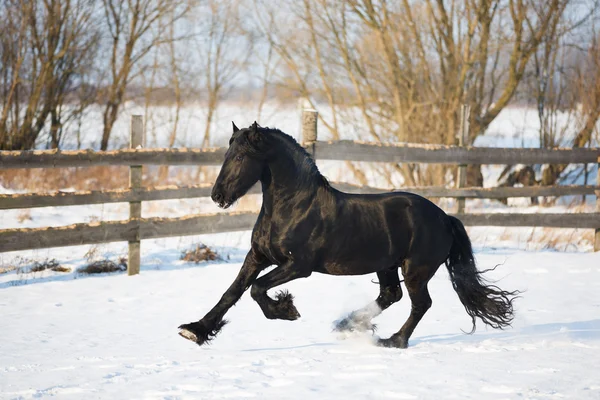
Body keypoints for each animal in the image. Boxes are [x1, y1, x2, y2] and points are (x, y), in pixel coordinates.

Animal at [176, 121, 516, 346]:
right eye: (226, 154)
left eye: (240, 157)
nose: (217, 196)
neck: (291, 207)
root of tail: (445, 218)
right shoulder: (258, 256)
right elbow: (232, 292)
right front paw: (194, 330)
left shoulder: (298, 266)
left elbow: (257, 289)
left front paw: (287, 309)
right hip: (387, 265)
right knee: (390, 295)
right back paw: (347, 324)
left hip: (416, 270)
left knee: (420, 304)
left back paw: (393, 340)